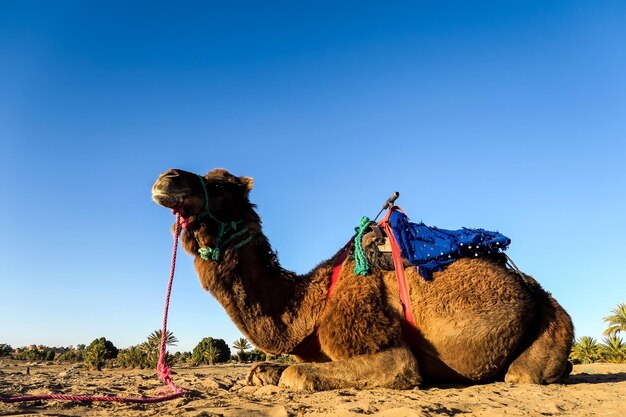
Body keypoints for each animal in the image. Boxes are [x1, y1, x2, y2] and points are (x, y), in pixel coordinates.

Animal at [150, 167, 572, 390]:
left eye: (220, 186)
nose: (166, 178)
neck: (312, 303)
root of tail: (527, 283)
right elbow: (263, 369)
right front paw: (263, 372)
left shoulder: (385, 347)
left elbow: (295, 373)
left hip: (549, 325)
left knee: (521, 375)